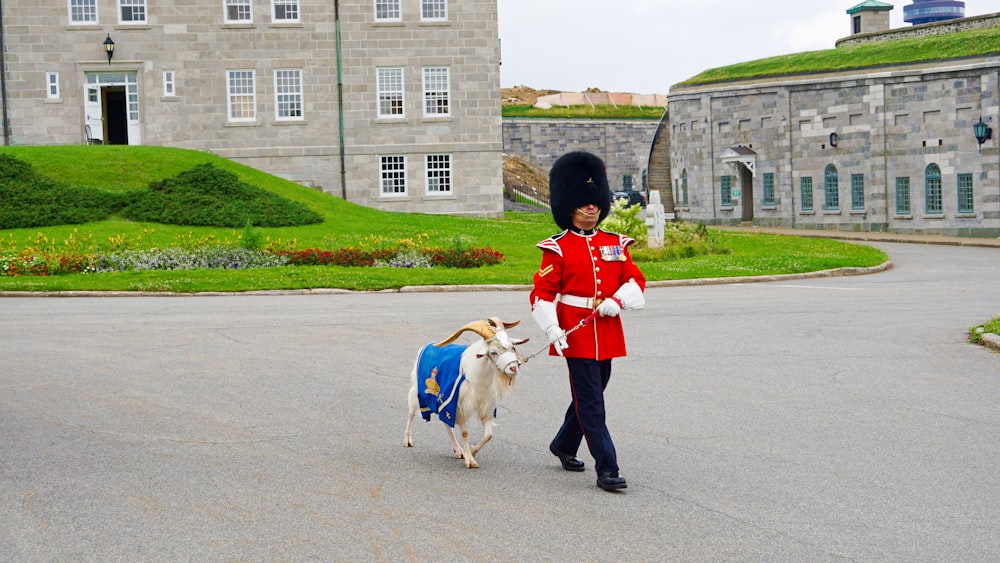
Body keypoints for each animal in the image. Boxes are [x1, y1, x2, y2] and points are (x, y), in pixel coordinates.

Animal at [406, 318, 532, 468]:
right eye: (493, 352)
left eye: (512, 348)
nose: (513, 368)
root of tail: (427, 345)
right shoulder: (458, 406)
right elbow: (465, 433)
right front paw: (470, 461)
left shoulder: (485, 406)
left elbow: (489, 435)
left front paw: (472, 451)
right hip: (417, 392)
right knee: (411, 413)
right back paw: (407, 440)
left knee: (447, 425)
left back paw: (458, 450)